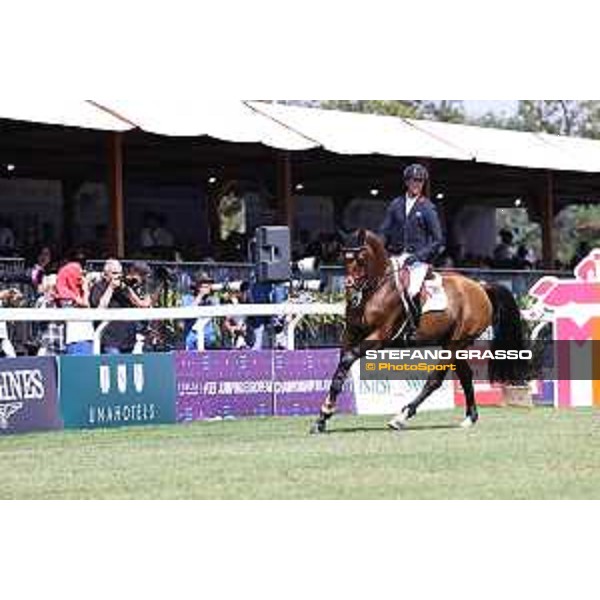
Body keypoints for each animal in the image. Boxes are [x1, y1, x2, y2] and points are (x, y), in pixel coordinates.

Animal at [312, 227, 528, 434]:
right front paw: (323, 417)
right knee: (466, 375)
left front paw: (326, 412)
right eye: (343, 256)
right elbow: (340, 370)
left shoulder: (379, 337)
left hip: (455, 343)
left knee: (435, 380)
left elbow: (348, 360)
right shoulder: (351, 335)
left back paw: (401, 417)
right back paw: (470, 417)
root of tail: (481, 287)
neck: (375, 290)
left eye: (361, 258)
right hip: (454, 344)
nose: (351, 293)